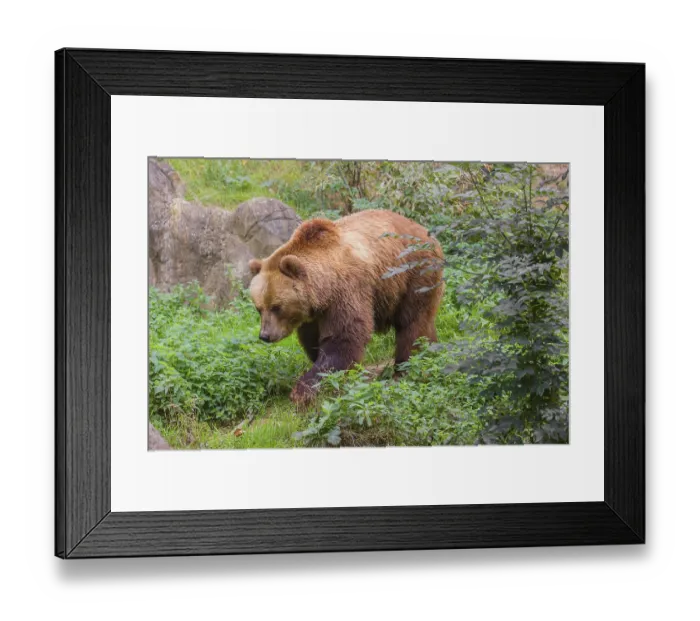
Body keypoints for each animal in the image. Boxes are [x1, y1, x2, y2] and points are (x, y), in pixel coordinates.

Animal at [248, 209, 444, 405]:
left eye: (276, 307)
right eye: (259, 308)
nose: (265, 335)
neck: (323, 289)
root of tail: (425, 232)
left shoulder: (346, 291)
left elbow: (343, 338)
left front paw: (303, 390)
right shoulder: (313, 315)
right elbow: (313, 340)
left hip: (413, 272)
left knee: (412, 322)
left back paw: (407, 365)